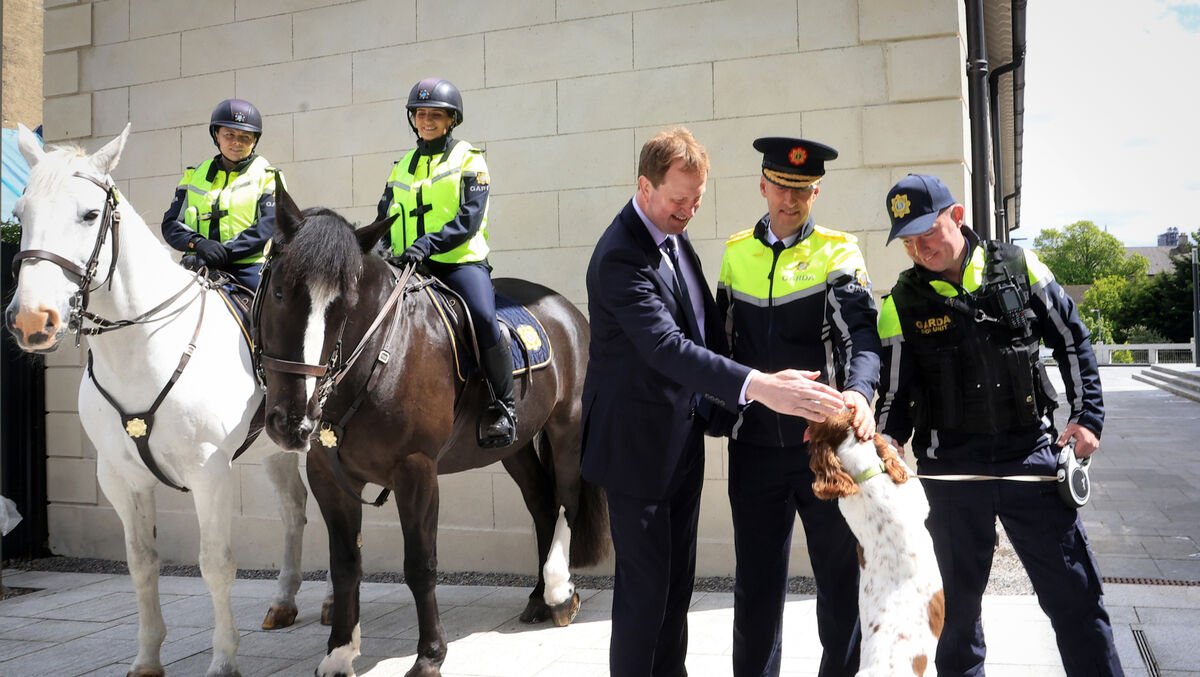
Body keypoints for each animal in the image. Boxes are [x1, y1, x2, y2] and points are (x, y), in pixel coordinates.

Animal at [4, 124, 311, 677]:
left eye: (89, 214)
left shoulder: (209, 473)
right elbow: (142, 564)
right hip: (277, 450)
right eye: (20, 214)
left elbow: (215, 564)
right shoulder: (119, 477)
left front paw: (223, 658)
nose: (32, 321)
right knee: (294, 510)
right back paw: (284, 602)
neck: (144, 346)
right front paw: (147, 657)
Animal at [253, 188, 608, 677]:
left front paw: (429, 656)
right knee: (540, 501)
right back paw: (539, 597)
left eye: (345, 307)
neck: (382, 354)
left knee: (567, 501)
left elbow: (420, 564)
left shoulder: (416, 470)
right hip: (513, 446)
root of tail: (567, 310)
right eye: (280, 291)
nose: (292, 420)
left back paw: (561, 593)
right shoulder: (327, 475)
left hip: (567, 427)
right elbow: (344, 565)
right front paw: (340, 651)